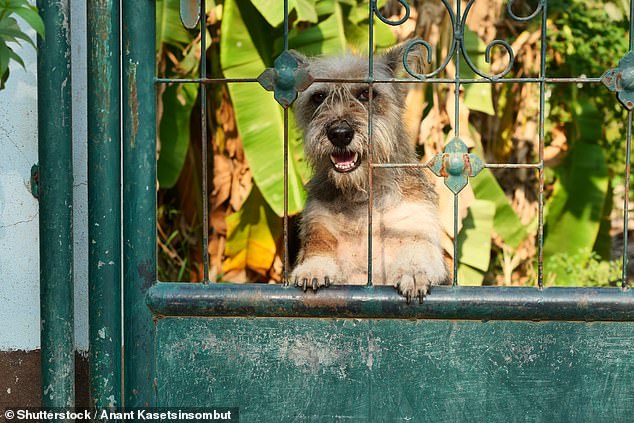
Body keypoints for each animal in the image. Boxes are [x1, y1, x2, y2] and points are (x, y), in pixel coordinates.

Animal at [288, 44, 446, 304]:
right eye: (319, 97)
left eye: (365, 94)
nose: (340, 134)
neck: (361, 196)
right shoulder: (319, 227)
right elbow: (318, 249)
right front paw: (314, 268)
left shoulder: (414, 227)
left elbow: (417, 251)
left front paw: (414, 273)